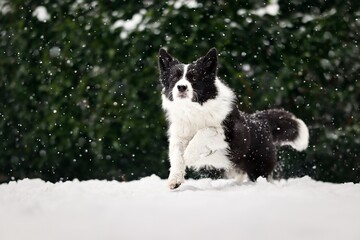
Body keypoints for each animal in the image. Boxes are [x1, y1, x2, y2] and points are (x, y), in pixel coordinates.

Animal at [158, 47, 310, 188]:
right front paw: (175, 180)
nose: (181, 87)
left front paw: (189, 155)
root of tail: (260, 120)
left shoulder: (228, 134)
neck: (193, 109)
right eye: (174, 78)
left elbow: (205, 131)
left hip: (258, 165)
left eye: (194, 78)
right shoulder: (179, 136)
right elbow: (176, 156)